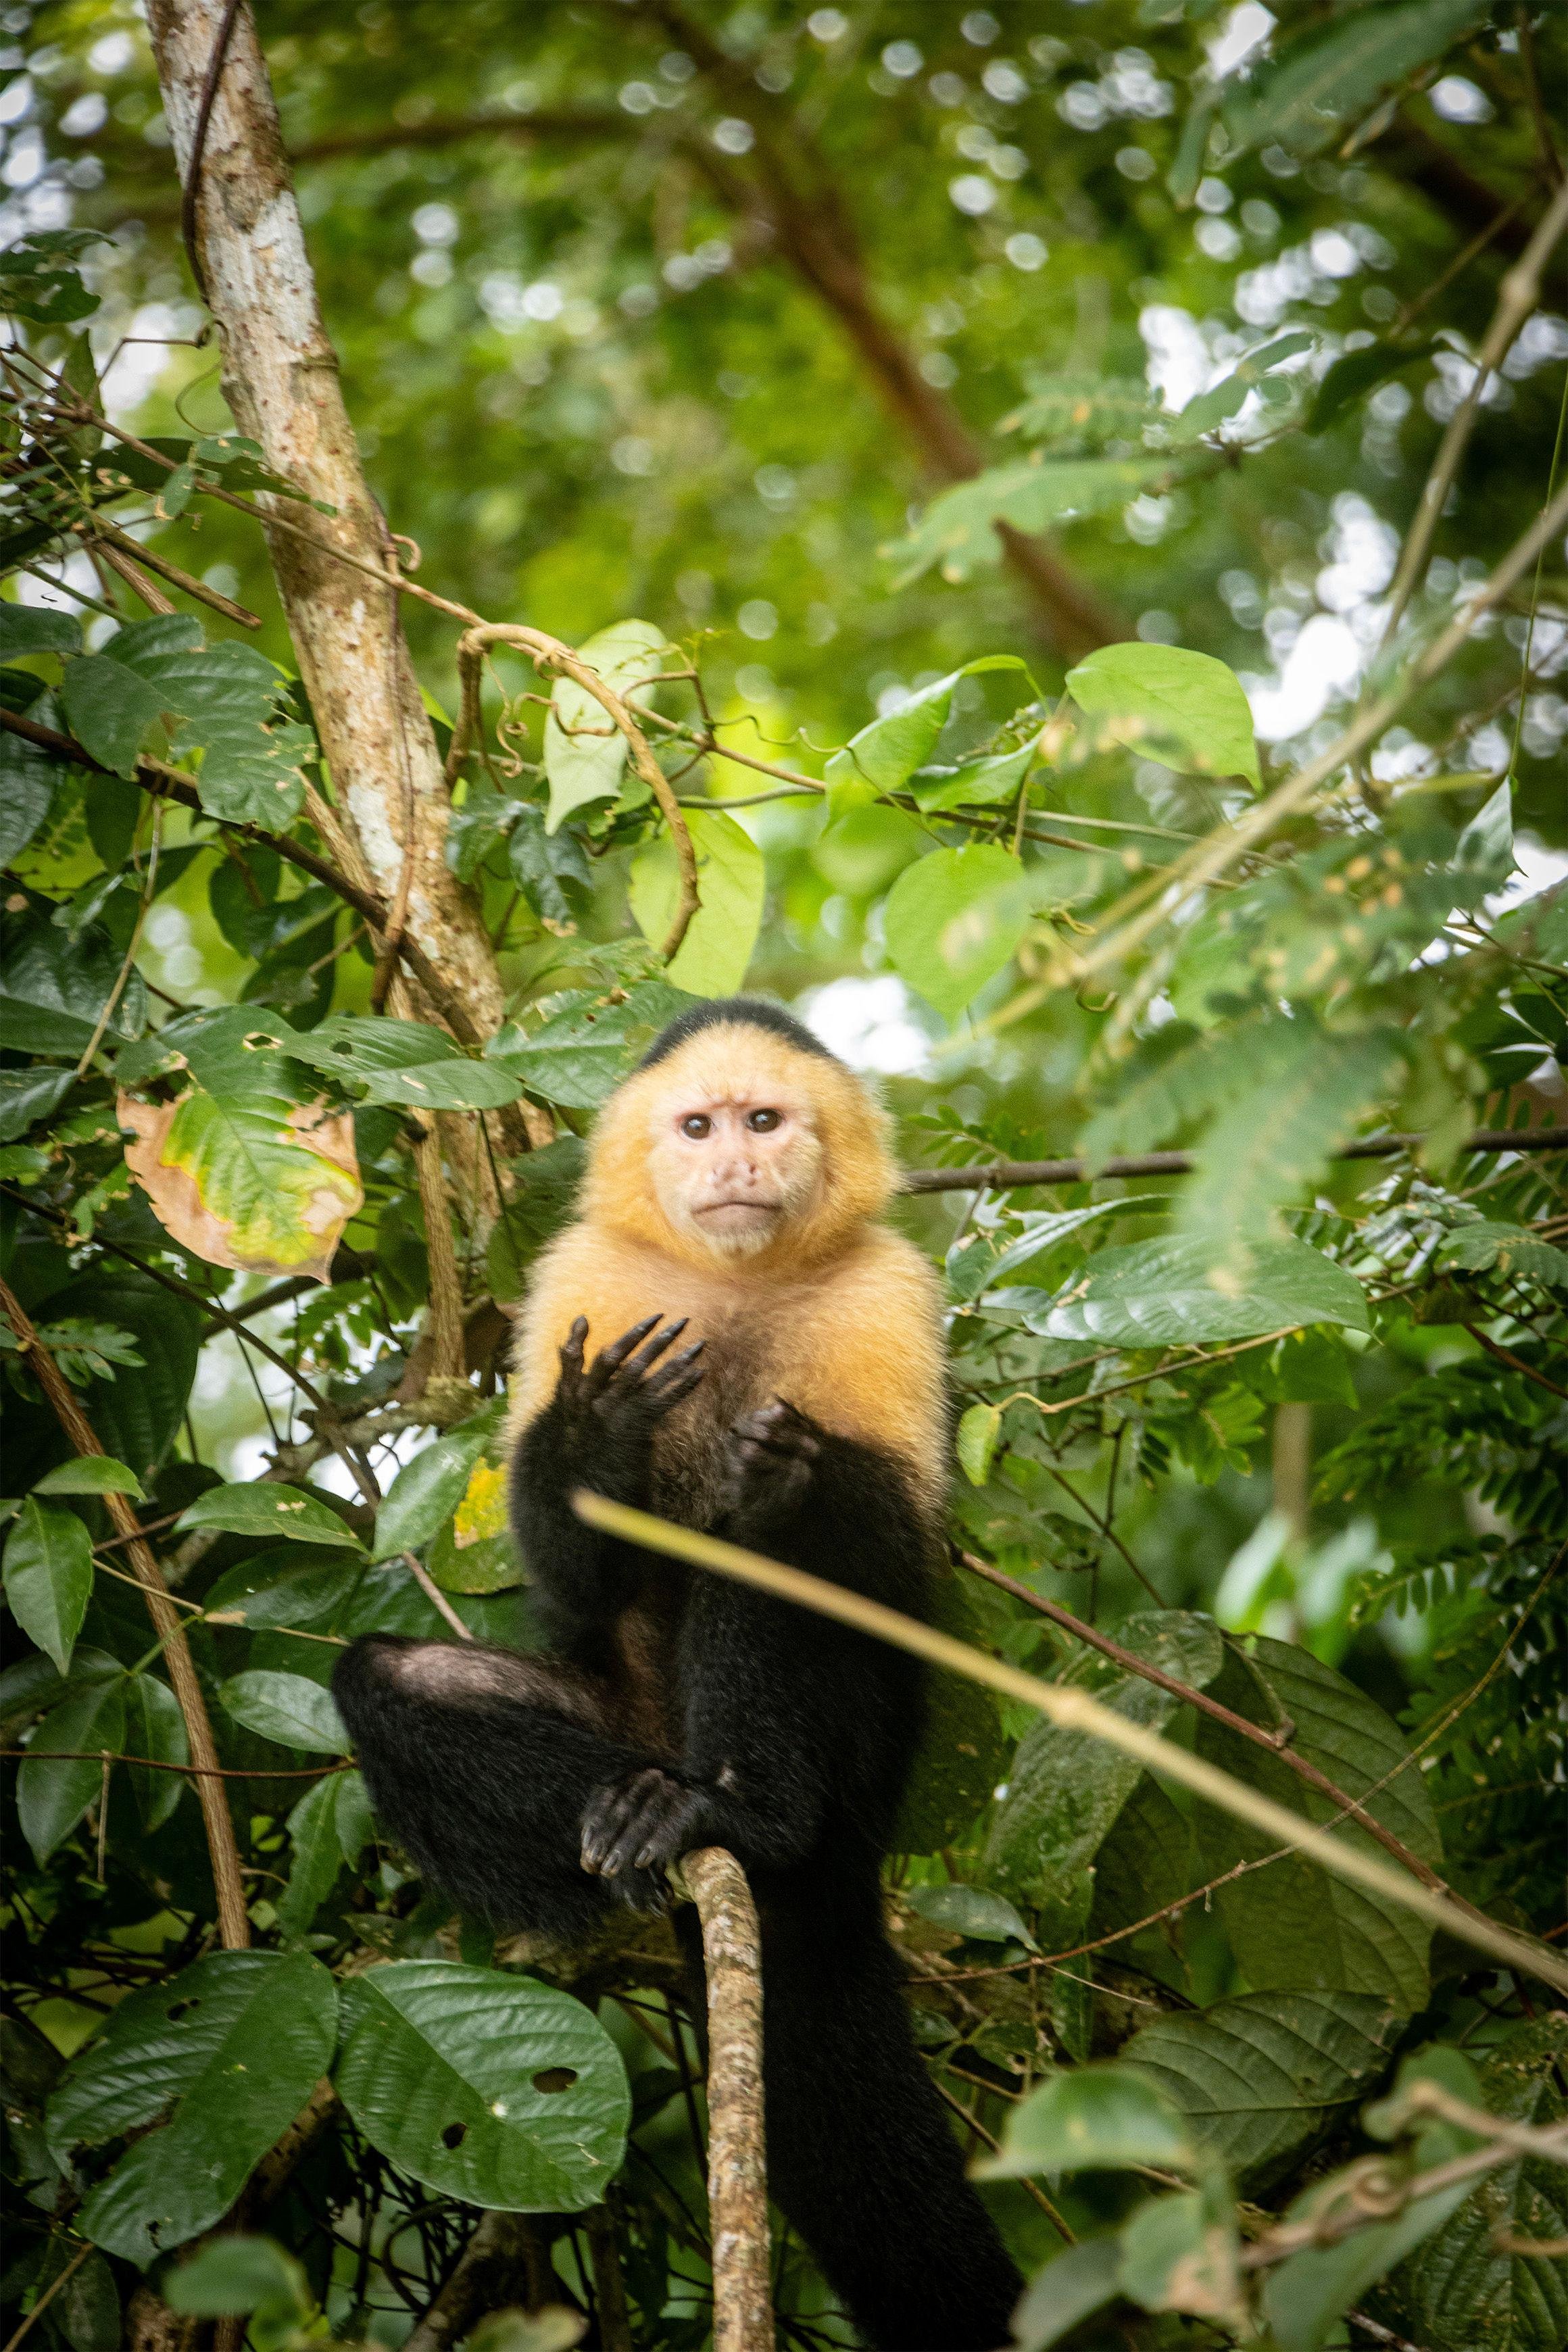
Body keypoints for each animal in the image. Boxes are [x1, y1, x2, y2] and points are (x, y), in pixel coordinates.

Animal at [334, 999, 1023, 2351]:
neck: (733, 1281)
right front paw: (599, 1437)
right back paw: (623, 1826)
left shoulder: (889, 1291)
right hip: (612, 1725)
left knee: (763, 1593)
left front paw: (789, 1478)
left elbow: (884, 1542)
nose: (738, 1163)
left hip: (870, 1768)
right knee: (394, 1687)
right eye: (698, 1127)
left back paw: (741, 1813)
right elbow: (569, 1565)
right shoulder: (581, 1281)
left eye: (766, 1120)